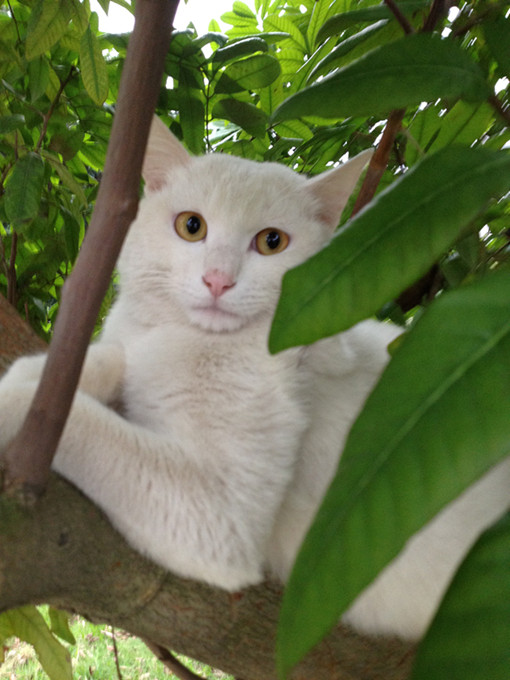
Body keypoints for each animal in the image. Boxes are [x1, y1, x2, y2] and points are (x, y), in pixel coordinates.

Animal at [1, 116, 508, 641]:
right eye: (191, 226)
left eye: (272, 242)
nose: (218, 280)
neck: (188, 338)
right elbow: (113, 358)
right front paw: (35, 372)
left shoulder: (220, 515)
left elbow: (89, 423)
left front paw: (12, 403)